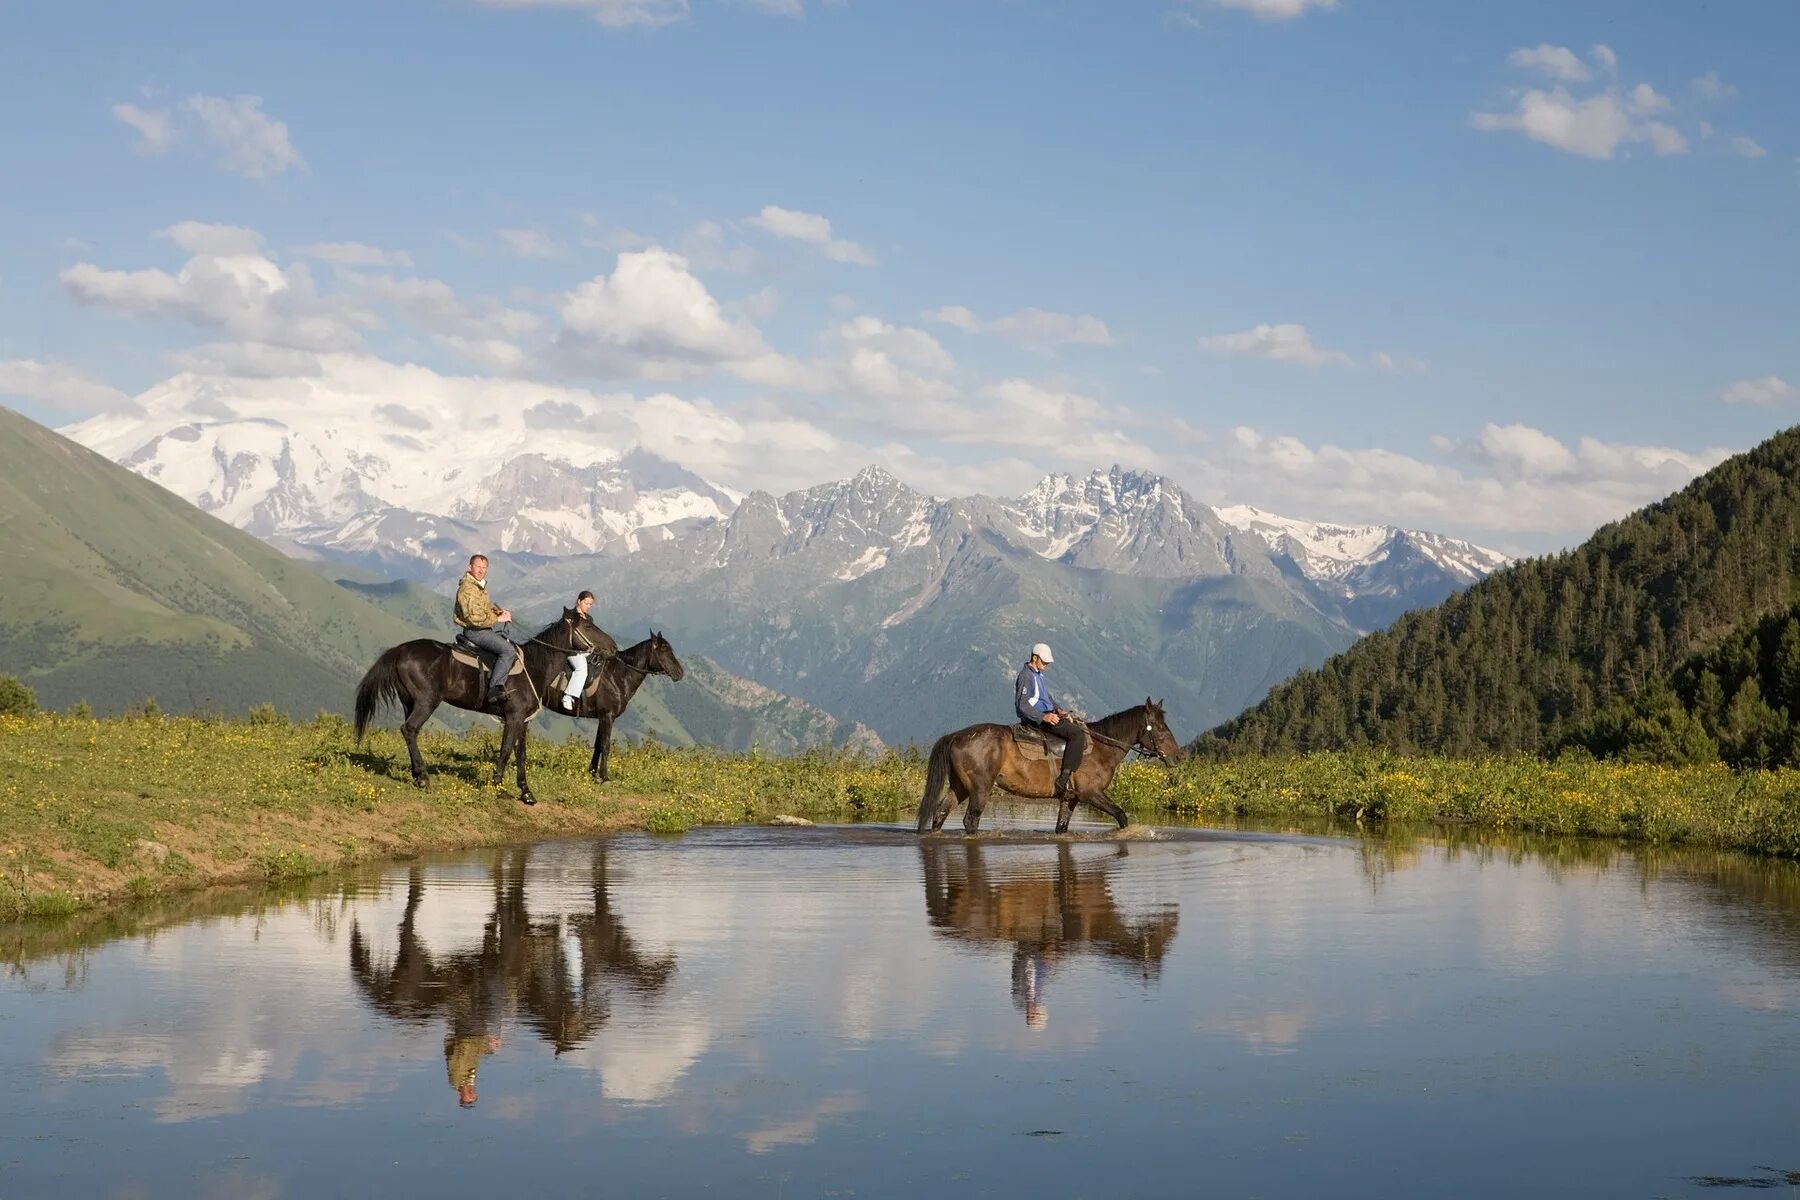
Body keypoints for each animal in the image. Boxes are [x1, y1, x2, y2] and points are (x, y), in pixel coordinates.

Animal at [351, 611, 619, 805]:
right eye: (588, 627)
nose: (614, 646)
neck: (534, 666)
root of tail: (400, 650)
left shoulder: (524, 721)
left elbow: (521, 754)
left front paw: (526, 792)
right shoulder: (513, 717)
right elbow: (506, 750)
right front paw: (498, 787)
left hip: (410, 703)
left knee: (410, 733)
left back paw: (417, 776)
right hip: (426, 703)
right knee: (409, 729)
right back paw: (424, 778)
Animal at [565, 633, 684, 784]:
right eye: (663, 650)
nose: (680, 672)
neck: (616, 677)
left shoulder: (603, 717)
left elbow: (598, 745)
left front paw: (592, 773)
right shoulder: (607, 716)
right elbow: (605, 745)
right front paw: (604, 777)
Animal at [914, 698, 1180, 841]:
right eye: (1160, 728)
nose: (1177, 756)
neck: (1102, 748)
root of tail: (956, 735)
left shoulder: (1070, 799)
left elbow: (1061, 828)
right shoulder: (1091, 794)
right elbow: (1121, 815)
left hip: (960, 787)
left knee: (940, 813)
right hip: (980, 789)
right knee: (970, 820)